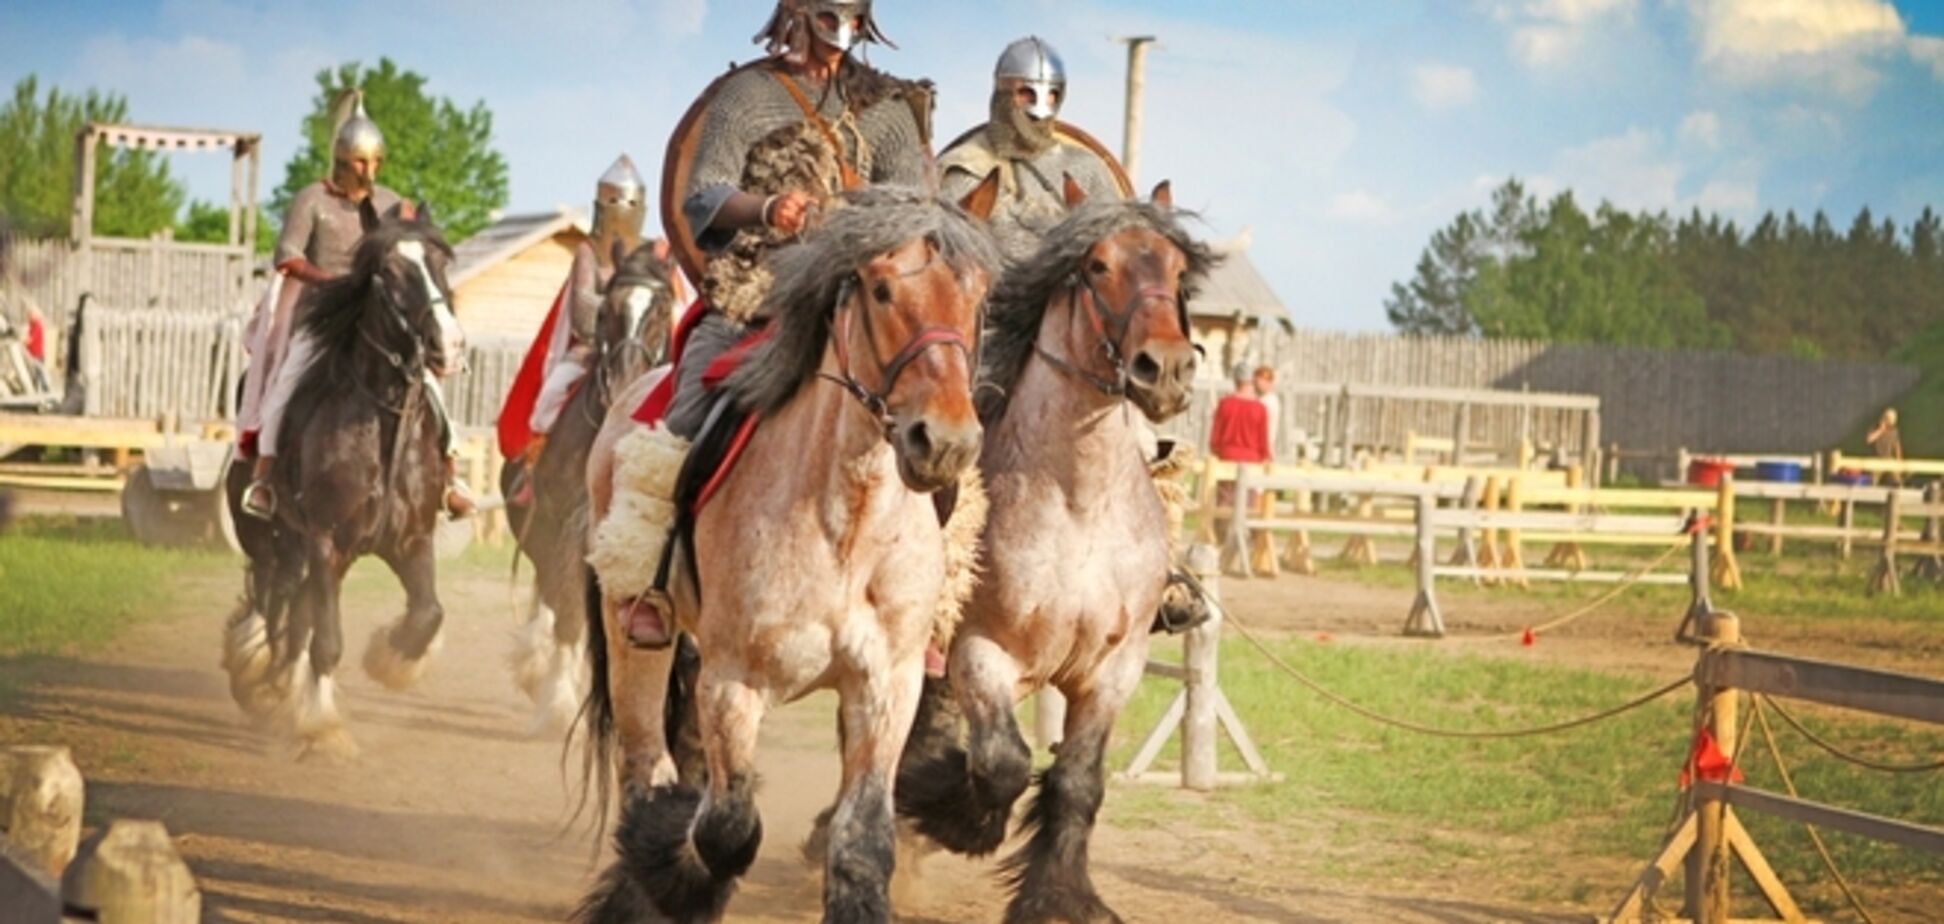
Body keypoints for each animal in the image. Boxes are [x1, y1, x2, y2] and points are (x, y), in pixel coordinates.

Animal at [220, 200, 466, 758]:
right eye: (389, 272)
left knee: (296, 611)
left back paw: (281, 686)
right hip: (268, 537)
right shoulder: (325, 541)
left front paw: (391, 659)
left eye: (442, 263)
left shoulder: (411, 541)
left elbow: (429, 613)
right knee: (271, 600)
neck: (383, 423)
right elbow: (326, 640)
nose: (449, 344)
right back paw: (260, 676)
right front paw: (322, 727)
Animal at [501, 240, 684, 739]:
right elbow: (565, 606)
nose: (625, 381)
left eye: (663, 307)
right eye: (607, 312)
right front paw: (560, 704)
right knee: (549, 591)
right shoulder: (570, 525)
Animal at [571, 187, 1003, 924]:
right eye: (882, 289)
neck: (845, 525)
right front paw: (678, 876)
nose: (944, 442)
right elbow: (727, 830)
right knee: (646, 766)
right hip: (633, 632)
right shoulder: (734, 683)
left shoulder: (886, 686)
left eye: (976, 296)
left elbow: (862, 842)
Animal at [894, 184, 1213, 922]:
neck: (1078, 508)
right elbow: (1002, 764)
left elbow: (1077, 780)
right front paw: (954, 817)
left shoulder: (1112, 670)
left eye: (1179, 272)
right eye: (1097, 265)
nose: (1167, 369)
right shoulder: (981, 653)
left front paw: (1060, 895)